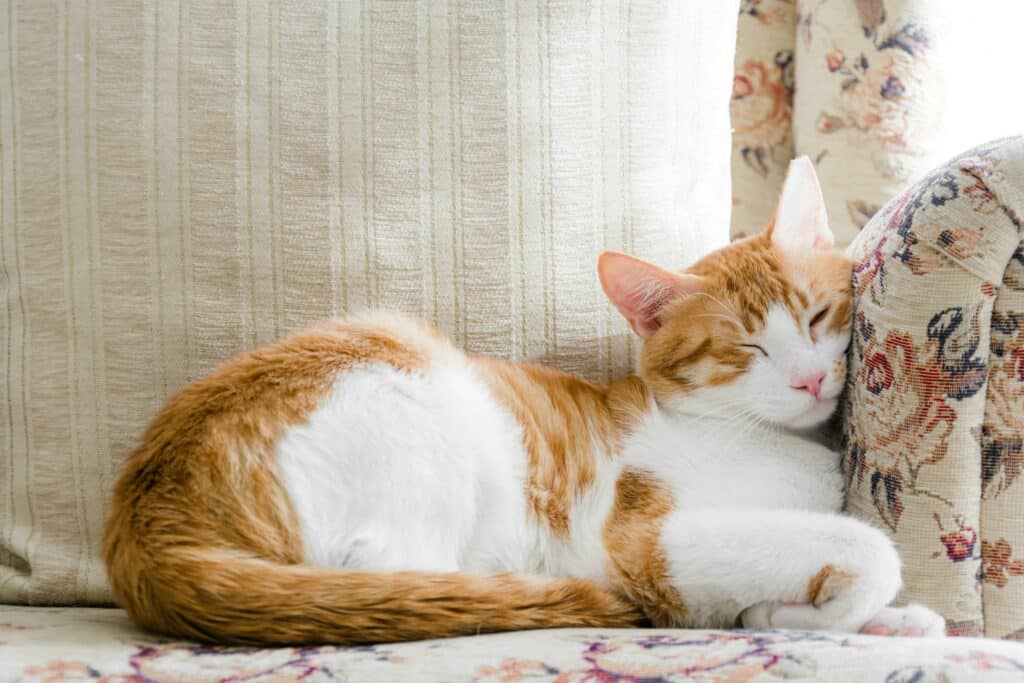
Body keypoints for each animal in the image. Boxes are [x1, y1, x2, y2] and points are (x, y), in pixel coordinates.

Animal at [101, 160, 942, 647]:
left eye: (816, 316)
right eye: (745, 348)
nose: (808, 381)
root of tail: (144, 516)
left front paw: (885, 618)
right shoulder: (649, 539)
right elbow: (869, 551)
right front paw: (795, 612)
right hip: (424, 400)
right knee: (402, 574)